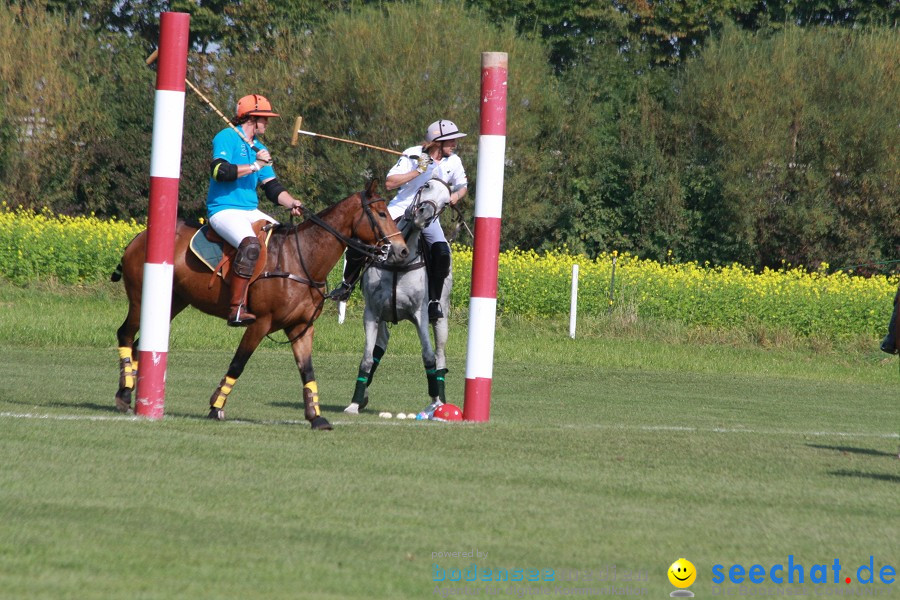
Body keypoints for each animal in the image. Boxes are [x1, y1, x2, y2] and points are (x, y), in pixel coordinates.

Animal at [112, 180, 408, 428]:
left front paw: (316, 417)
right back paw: (124, 394)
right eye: (381, 214)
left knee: (139, 344)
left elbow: (307, 371)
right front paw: (216, 407)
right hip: (140, 298)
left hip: (173, 302)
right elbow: (238, 363)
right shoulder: (260, 323)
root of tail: (137, 238)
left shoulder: (301, 327)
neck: (301, 259)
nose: (402, 250)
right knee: (125, 333)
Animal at [342, 176, 454, 414]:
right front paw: (354, 403)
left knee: (440, 356)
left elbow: (428, 357)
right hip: (383, 318)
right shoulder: (372, 313)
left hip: (441, 318)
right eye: (426, 186)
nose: (422, 215)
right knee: (380, 346)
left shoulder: (420, 314)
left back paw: (440, 402)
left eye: (446, 203)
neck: (398, 260)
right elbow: (367, 359)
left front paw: (434, 401)